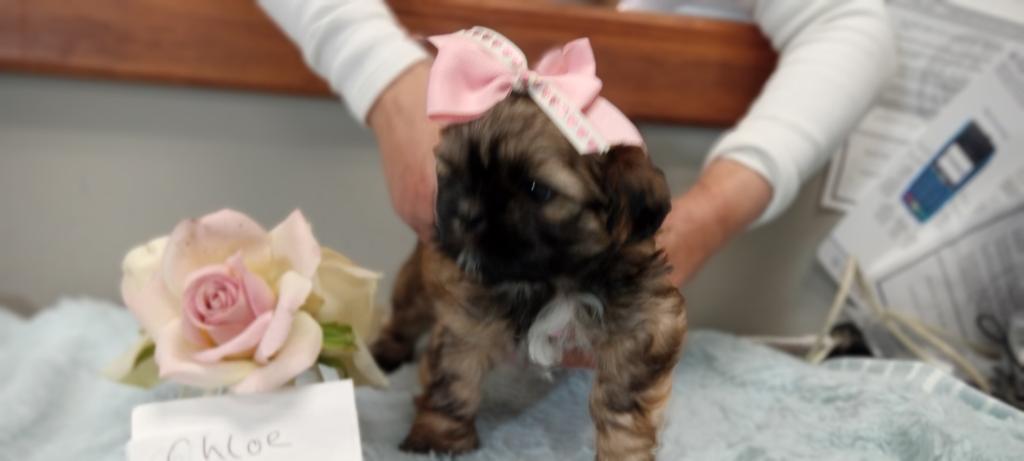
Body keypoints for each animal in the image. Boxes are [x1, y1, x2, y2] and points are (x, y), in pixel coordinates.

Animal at [370, 92, 687, 460]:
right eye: (455, 175)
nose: (467, 212)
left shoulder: (643, 323)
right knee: (405, 316)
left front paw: (624, 452)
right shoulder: (465, 314)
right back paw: (385, 352)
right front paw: (438, 437)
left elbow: (623, 403)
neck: (550, 282)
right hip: (418, 284)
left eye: (537, 189)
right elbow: (453, 377)